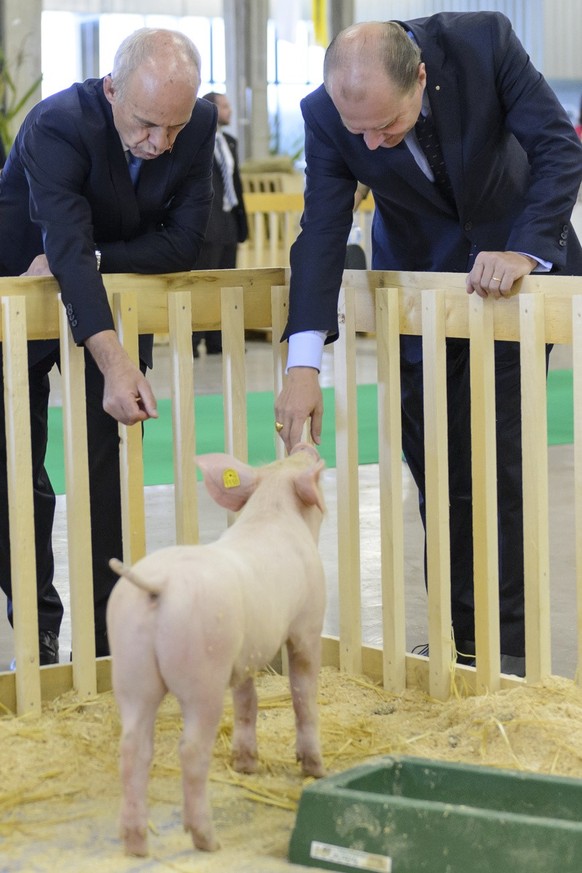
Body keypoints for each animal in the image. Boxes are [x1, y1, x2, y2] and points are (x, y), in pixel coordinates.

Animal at [107, 446, 326, 856]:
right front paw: (315, 769)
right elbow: (303, 696)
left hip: (130, 668)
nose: (306, 446)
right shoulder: (306, 627)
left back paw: (136, 845)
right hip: (202, 674)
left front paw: (246, 765)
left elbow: (247, 701)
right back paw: (207, 840)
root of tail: (159, 585)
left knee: (132, 748)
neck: (273, 511)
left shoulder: (244, 657)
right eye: (310, 469)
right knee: (191, 750)